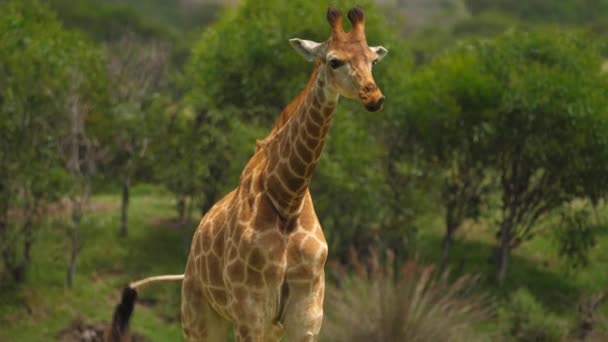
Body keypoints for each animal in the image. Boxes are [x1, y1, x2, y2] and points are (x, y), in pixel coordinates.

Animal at [106, 5, 388, 342]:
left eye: (373, 60)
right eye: (334, 61)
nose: (374, 98)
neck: (288, 200)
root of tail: (189, 264)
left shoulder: (306, 316)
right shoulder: (250, 312)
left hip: (264, 328)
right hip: (199, 317)